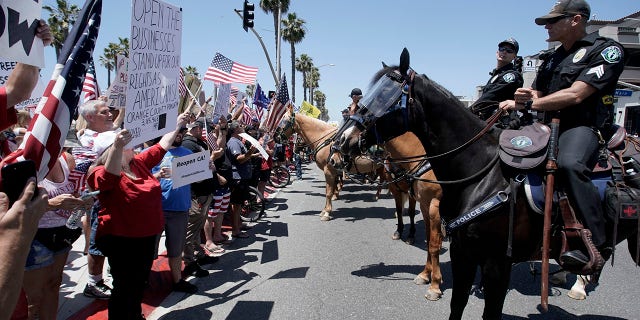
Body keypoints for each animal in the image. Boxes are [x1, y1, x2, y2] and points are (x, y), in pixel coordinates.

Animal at [338, 48, 636, 320]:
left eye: (385, 95)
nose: (342, 141)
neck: (481, 172)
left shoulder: (489, 254)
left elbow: (435, 245)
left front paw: (434, 284)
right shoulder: (439, 220)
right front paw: (426, 275)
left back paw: (579, 283)